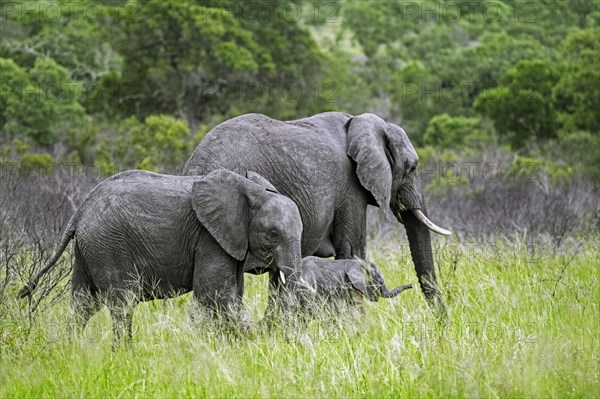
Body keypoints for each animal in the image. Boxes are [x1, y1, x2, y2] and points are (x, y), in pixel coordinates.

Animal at [19, 169, 302, 344]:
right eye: (273, 234)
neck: (253, 191)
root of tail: (80, 210)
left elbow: (230, 292)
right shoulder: (209, 237)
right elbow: (215, 292)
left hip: (88, 248)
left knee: (84, 303)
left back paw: (73, 349)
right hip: (108, 245)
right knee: (122, 303)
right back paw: (124, 354)